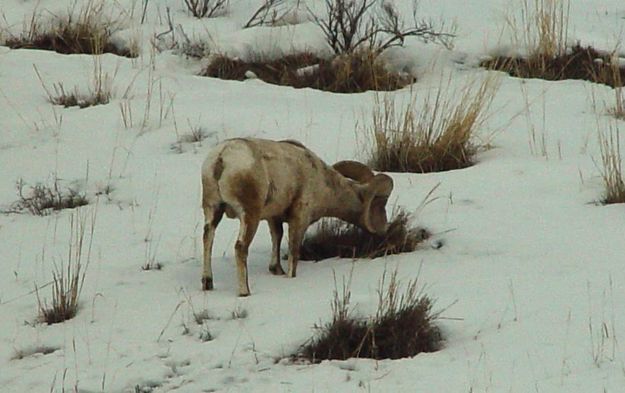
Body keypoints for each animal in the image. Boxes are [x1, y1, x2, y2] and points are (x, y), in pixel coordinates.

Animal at [202, 138, 392, 294]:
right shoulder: (299, 219)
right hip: (249, 216)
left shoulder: (274, 218)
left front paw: (276, 270)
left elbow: (277, 238)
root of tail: (222, 158)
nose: (384, 228)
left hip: (212, 210)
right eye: (380, 204)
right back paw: (244, 291)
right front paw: (290, 277)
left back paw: (207, 283)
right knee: (240, 247)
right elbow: (294, 251)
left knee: (207, 238)